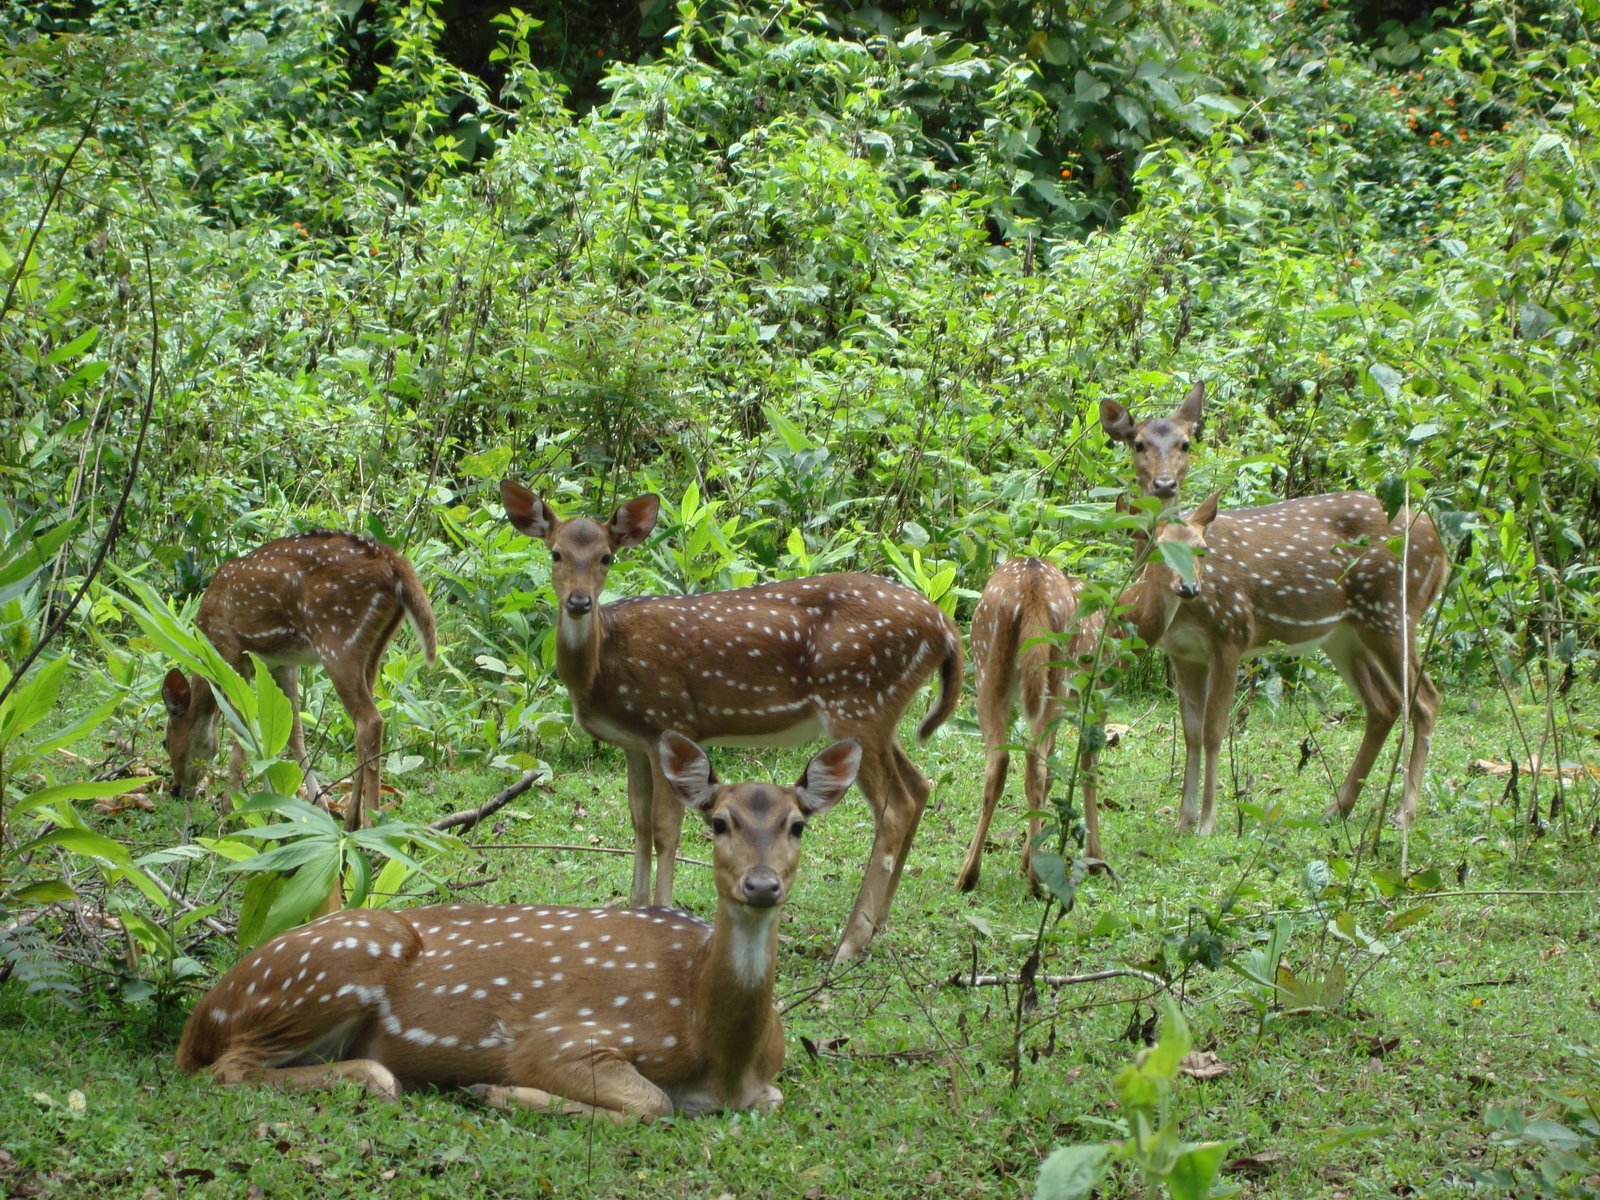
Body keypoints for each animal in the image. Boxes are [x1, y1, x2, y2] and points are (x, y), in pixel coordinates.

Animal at [159, 531, 435, 832]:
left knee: (370, 721)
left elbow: (241, 727)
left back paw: (370, 826)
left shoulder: (232, 652)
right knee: (363, 725)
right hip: (373, 651)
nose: (176, 790)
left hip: (337, 640)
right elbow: (293, 729)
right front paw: (316, 803)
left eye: (166, 741)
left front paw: (230, 808)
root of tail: (396, 564)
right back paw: (352, 819)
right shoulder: (282, 663)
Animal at [175, 739, 864, 1126]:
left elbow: (763, 1101)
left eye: (798, 824)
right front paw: (495, 1090)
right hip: (338, 963)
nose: (761, 885)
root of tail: (198, 1019)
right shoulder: (563, 1038)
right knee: (231, 1068)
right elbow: (654, 1105)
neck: (722, 1052)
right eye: (718, 823)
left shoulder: (764, 1090)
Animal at [492, 476, 953, 960]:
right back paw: (877, 924)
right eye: (555, 553)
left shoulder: (668, 719)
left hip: (857, 701)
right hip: (880, 712)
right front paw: (635, 910)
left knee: (896, 806)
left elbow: (665, 830)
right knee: (920, 785)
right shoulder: (633, 743)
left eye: (607, 557)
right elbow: (638, 823)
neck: (602, 668)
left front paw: (662, 912)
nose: (579, 601)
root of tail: (944, 626)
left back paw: (849, 942)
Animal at [953, 489, 1216, 896]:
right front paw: (1095, 858)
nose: (1189, 587)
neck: (1126, 624)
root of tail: (1031, 588)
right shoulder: (1098, 690)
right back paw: (1035, 880)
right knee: (1033, 762)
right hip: (1055, 675)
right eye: (1159, 547)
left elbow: (1058, 770)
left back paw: (969, 874)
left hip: (988, 663)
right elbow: (1088, 765)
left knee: (1001, 760)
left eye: (1201, 549)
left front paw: (1032, 854)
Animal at [1158, 489, 1459, 838]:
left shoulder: (1231, 634)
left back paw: (1402, 813)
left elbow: (1212, 731)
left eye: (1203, 549)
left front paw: (1207, 824)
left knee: (1426, 700)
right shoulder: (1184, 653)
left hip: (1391, 613)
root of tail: (1440, 542)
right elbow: (1191, 734)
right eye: (1160, 548)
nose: (1188, 588)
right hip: (1345, 633)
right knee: (1385, 704)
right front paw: (1183, 822)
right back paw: (1337, 808)